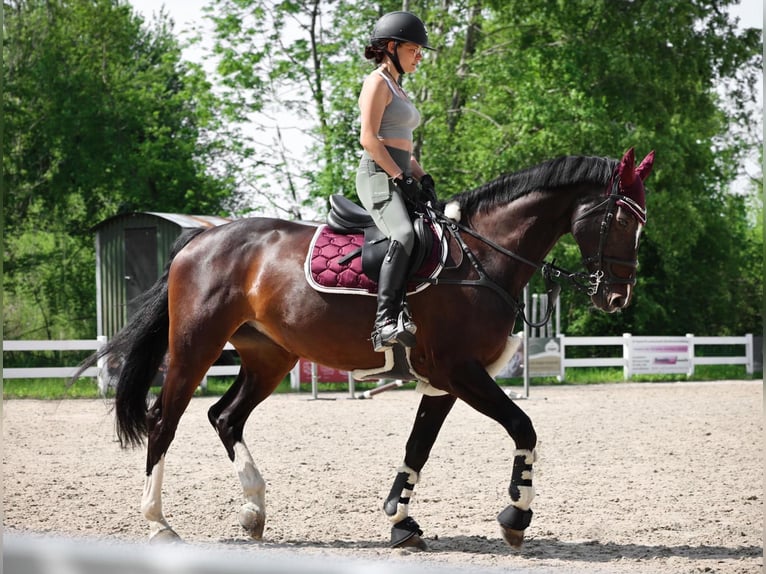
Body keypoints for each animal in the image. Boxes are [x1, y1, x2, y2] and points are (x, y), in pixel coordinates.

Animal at [75, 146, 656, 552]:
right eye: (622, 219)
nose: (616, 295)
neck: (480, 257)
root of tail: (200, 239)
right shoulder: (462, 371)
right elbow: (523, 426)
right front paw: (516, 516)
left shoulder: (443, 381)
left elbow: (417, 448)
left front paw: (400, 521)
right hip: (196, 346)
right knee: (164, 421)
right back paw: (159, 525)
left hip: (269, 357)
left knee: (225, 416)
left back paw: (254, 511)